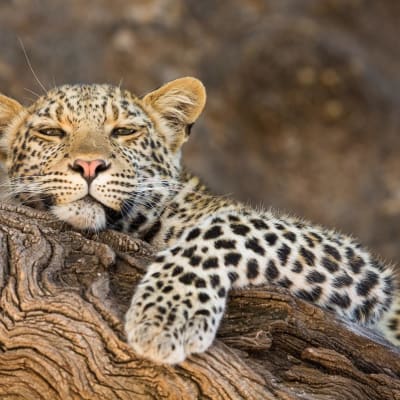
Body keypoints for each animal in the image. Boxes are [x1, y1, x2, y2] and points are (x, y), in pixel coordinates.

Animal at [0, 76, 398, 366]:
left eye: (124, 131)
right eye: (51, 132)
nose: (89, 165)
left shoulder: (363, 270)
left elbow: (230, 228)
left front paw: (166, 316)